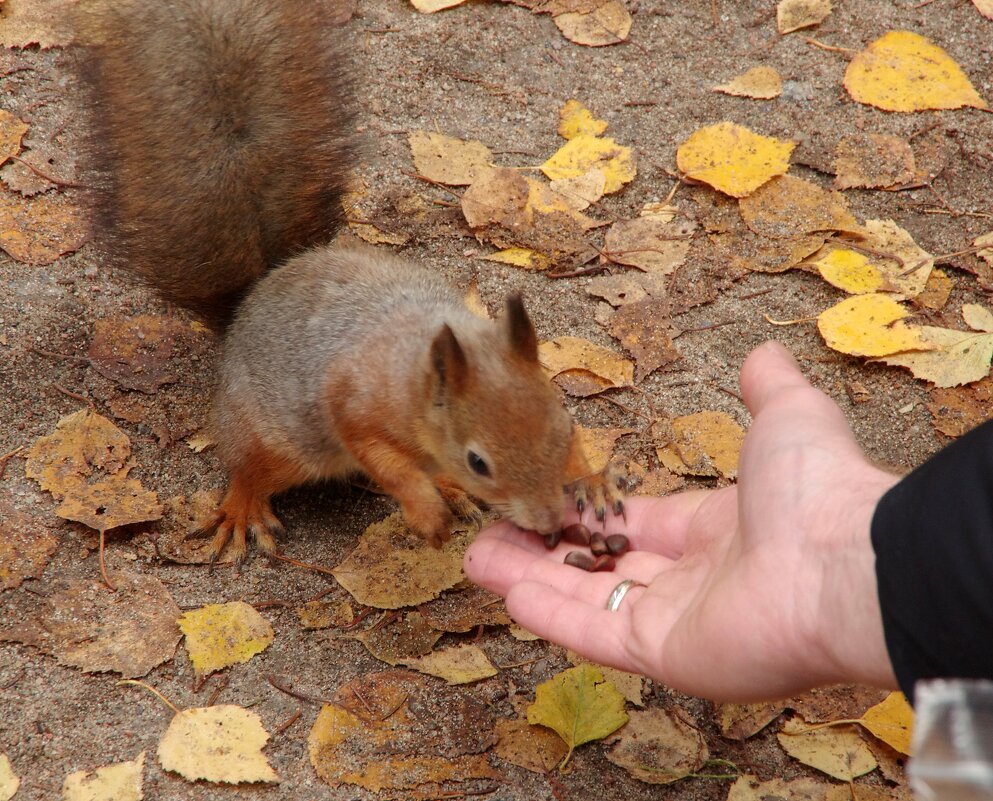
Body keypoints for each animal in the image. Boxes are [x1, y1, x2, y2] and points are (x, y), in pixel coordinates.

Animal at [75, 0, 620, 564]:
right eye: (479, 462)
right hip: (279, 442)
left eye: (565, 426)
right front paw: (427, 516)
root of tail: (256, 294)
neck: (419, 368)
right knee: (249, 469)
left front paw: (594, 481)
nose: (551, 523)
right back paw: (245, 507)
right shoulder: (357, 408)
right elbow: (388, 466)